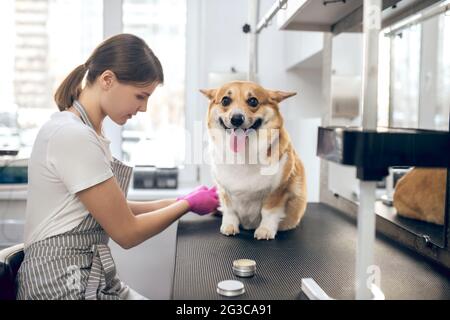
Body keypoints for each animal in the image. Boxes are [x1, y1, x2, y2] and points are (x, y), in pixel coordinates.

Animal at [201, 81, 310, 239]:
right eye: (225, 100)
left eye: (253, 101)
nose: (236, 119)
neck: (244, 154)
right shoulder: (224, 191)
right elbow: (229, 211)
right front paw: (229, 226)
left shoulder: (278, 190)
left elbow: (269, 212)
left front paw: (265, 230)